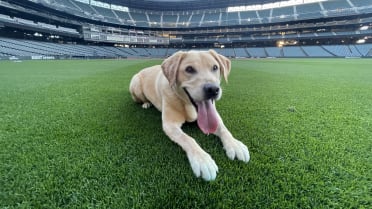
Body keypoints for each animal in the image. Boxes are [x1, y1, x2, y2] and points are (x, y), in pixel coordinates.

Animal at [129, 49, 248, 180]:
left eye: (215, 67)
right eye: (189, 69)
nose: (213, 89)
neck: (188, 105)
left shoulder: (215, 116)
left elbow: (224, 129)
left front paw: (235, 144)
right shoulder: (170, 125)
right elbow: (188, 139)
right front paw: (202, 160)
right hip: (135, 85)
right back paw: (146, 103)